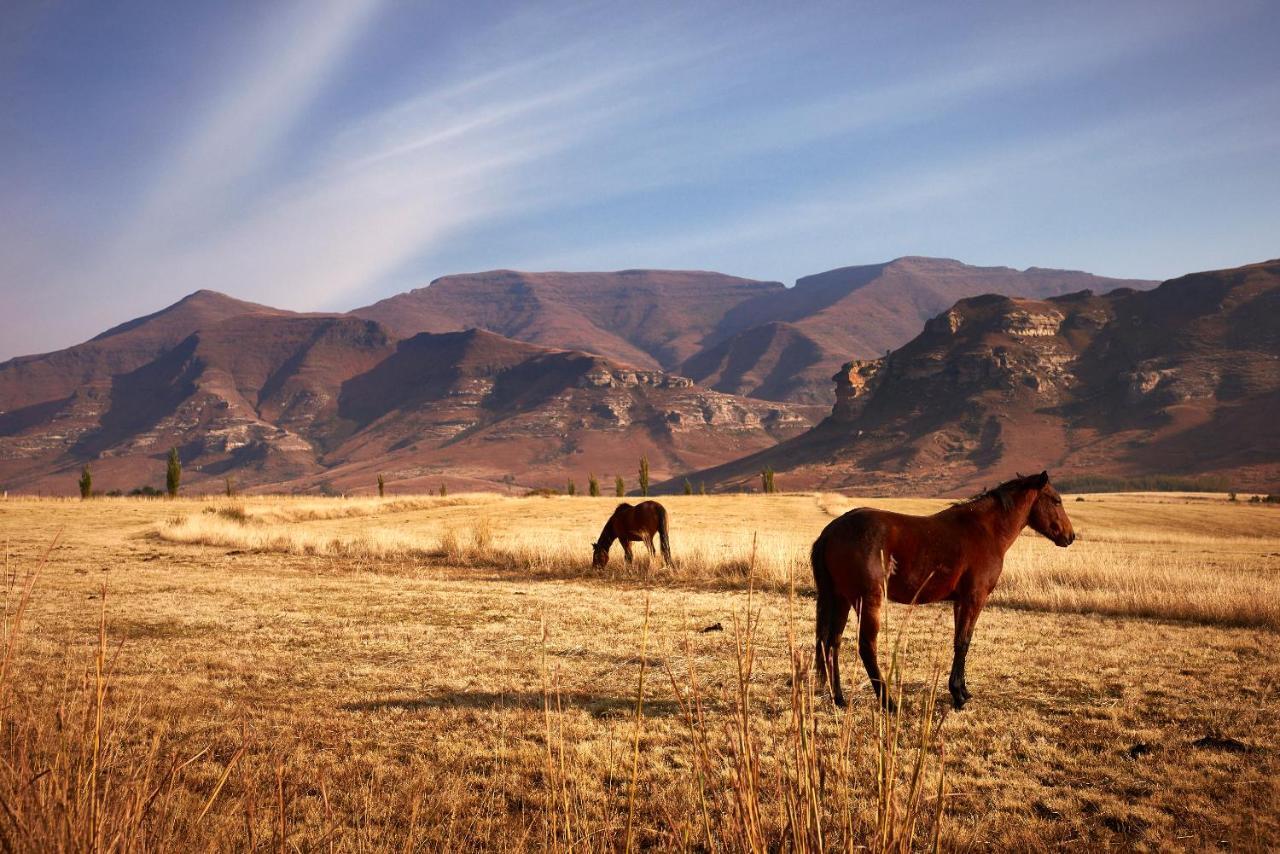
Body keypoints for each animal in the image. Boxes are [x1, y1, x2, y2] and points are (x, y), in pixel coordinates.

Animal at [814, 471, 1075, 711]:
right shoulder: (974, 599)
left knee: (832, 643)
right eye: (1056, 500)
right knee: (866, 646)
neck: (986, 530)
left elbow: (959, 641)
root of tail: (832, 530)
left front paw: (962, 690)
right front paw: (958, 696)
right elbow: (963, 642)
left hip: (841, 599)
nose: (1070, 536)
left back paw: (840, 699)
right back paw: (889, 703)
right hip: (867, 600)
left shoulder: (960, 601)